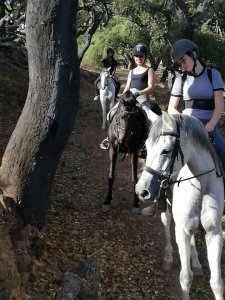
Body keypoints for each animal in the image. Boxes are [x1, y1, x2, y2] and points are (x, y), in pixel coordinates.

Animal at [134, 111, 224, 298]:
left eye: (166, 151)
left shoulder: (214, 231)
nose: (141, 190)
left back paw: (196, 262)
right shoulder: (182, 231)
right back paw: (168, 257)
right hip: (167, 210)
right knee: (167, 223)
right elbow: (185, 278)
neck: (202, 184)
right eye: (147, 146)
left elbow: (217, 283)